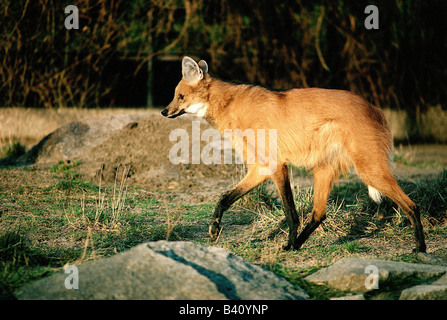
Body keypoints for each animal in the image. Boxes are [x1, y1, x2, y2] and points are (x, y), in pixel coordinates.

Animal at [161, 57, 428, 252]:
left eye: (180, 96)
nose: (164, 111)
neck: (230, 105)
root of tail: (375, 109)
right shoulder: (261, 167)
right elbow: (224, 198)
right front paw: (214, 230)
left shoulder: (277, 164)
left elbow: (290, 212)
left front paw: (287, 241)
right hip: (325, 170)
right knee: (319, 214)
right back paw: (297, 245)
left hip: (369, 170)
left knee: (412, 205)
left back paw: (420, 249)